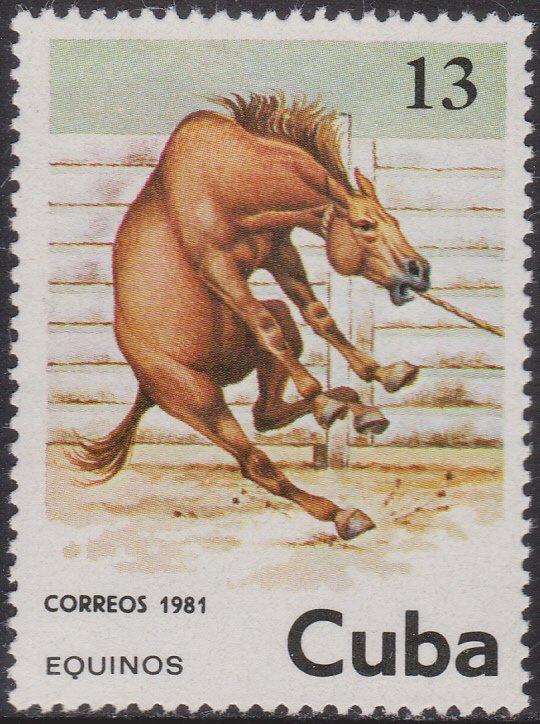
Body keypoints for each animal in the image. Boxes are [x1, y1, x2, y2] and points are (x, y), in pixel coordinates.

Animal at [72, 93, 430, 540]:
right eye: (365, 225)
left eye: (393, 219)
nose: (419, 271)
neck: (224, 179)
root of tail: (144, 385)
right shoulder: (218, 267)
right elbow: (265, 327)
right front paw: (322, 396)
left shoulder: (280, 252)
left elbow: (317, 314)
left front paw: (381, 375)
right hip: (200, 403)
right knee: (255, 461)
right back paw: (342, 510)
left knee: (267, 413)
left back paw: (353, 407)